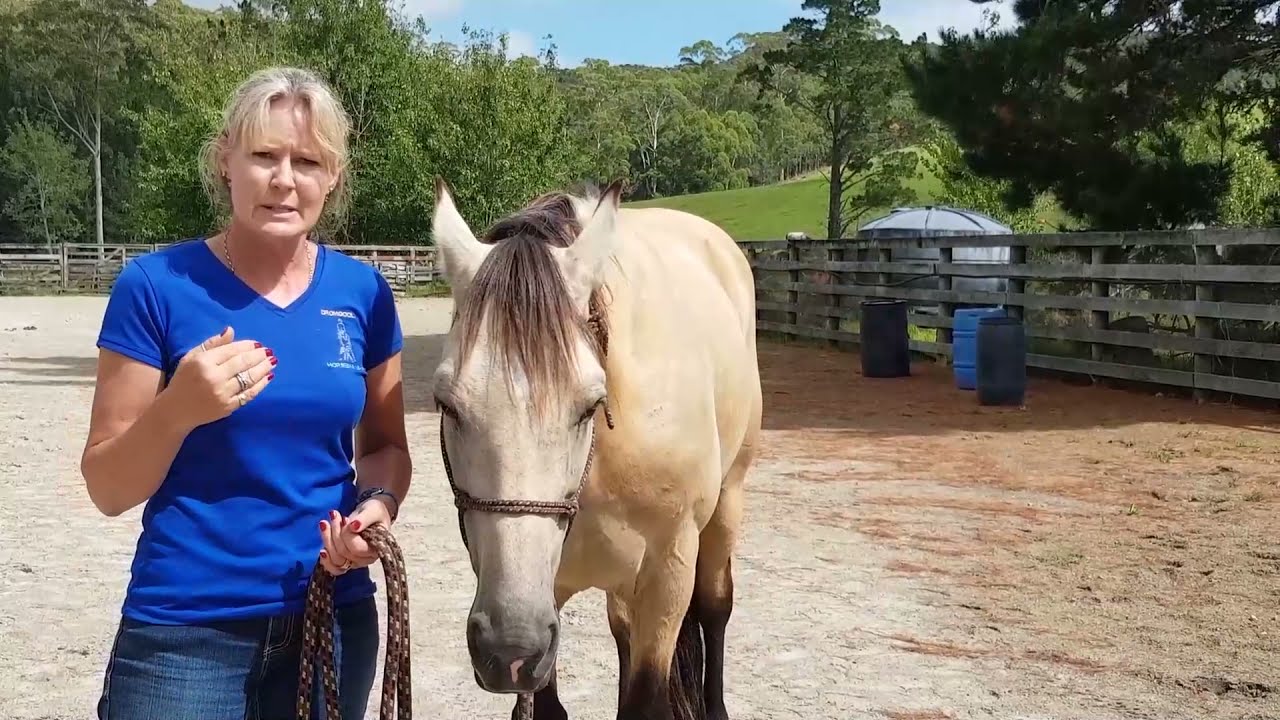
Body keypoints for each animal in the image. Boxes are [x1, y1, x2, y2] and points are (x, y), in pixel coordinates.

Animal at [427, 176, 763, 720]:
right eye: (447, 404)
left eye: (590, 405)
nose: (510, 648)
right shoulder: (540, 590)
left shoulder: (667, 577)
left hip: (727, 505)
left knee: (716, 607)